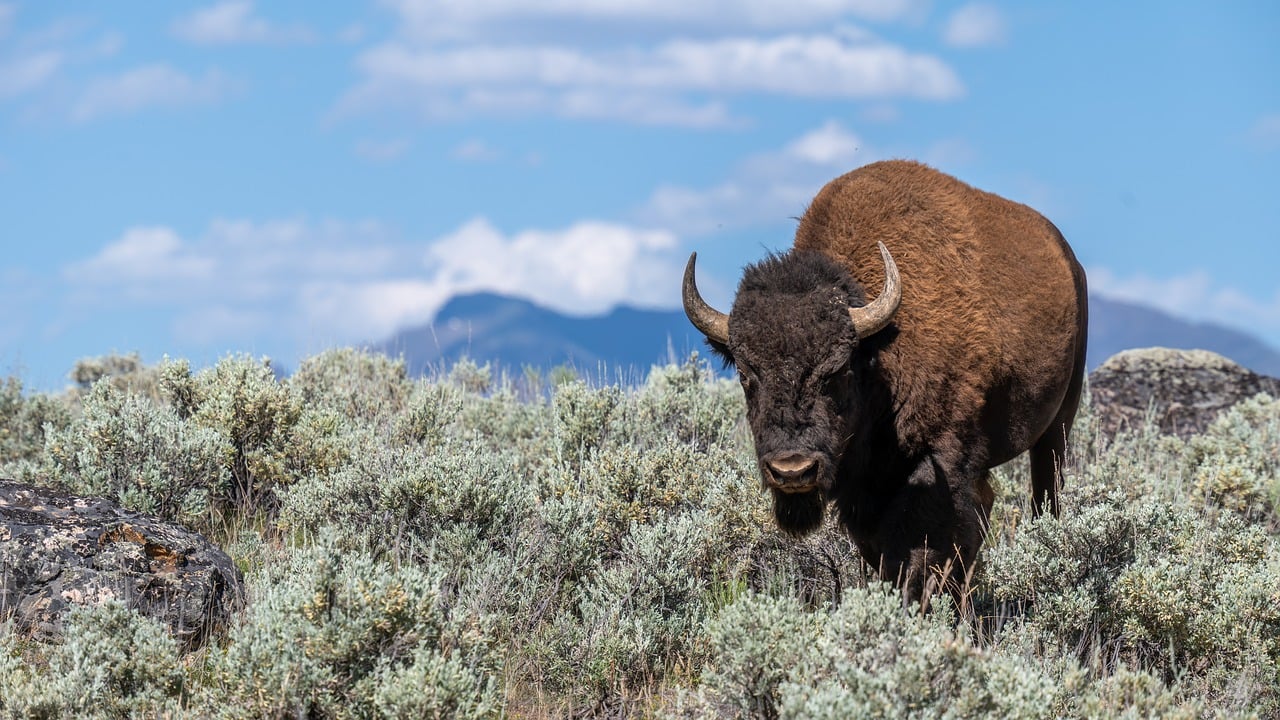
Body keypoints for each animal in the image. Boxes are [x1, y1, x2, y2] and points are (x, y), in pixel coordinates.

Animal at [686, 159, 1085, 602]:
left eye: (838, 370)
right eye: (745, 373)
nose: (792, 471)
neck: (878, 353)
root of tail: (1070, 261)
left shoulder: (937, 466)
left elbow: (924, 548)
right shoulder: (862, 488)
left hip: (1058, 426)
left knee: (1042, 492)